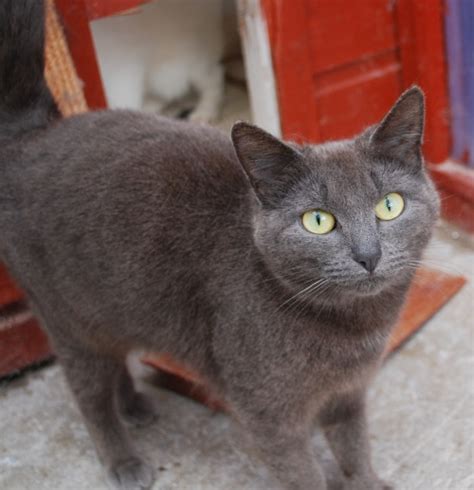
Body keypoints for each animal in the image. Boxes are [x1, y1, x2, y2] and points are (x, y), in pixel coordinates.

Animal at [0, 0, 438, 490]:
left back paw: (134, 407)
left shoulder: (348, 395)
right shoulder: (269, 417)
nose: (368, 254)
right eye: (318, 221)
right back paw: (123, 460)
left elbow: (355, 446)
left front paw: (366, 480)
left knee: (116, 358)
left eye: (389, 205)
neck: (356, 328)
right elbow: (303, 474)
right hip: (66, 317)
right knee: (89, 394)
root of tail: (31, 136)